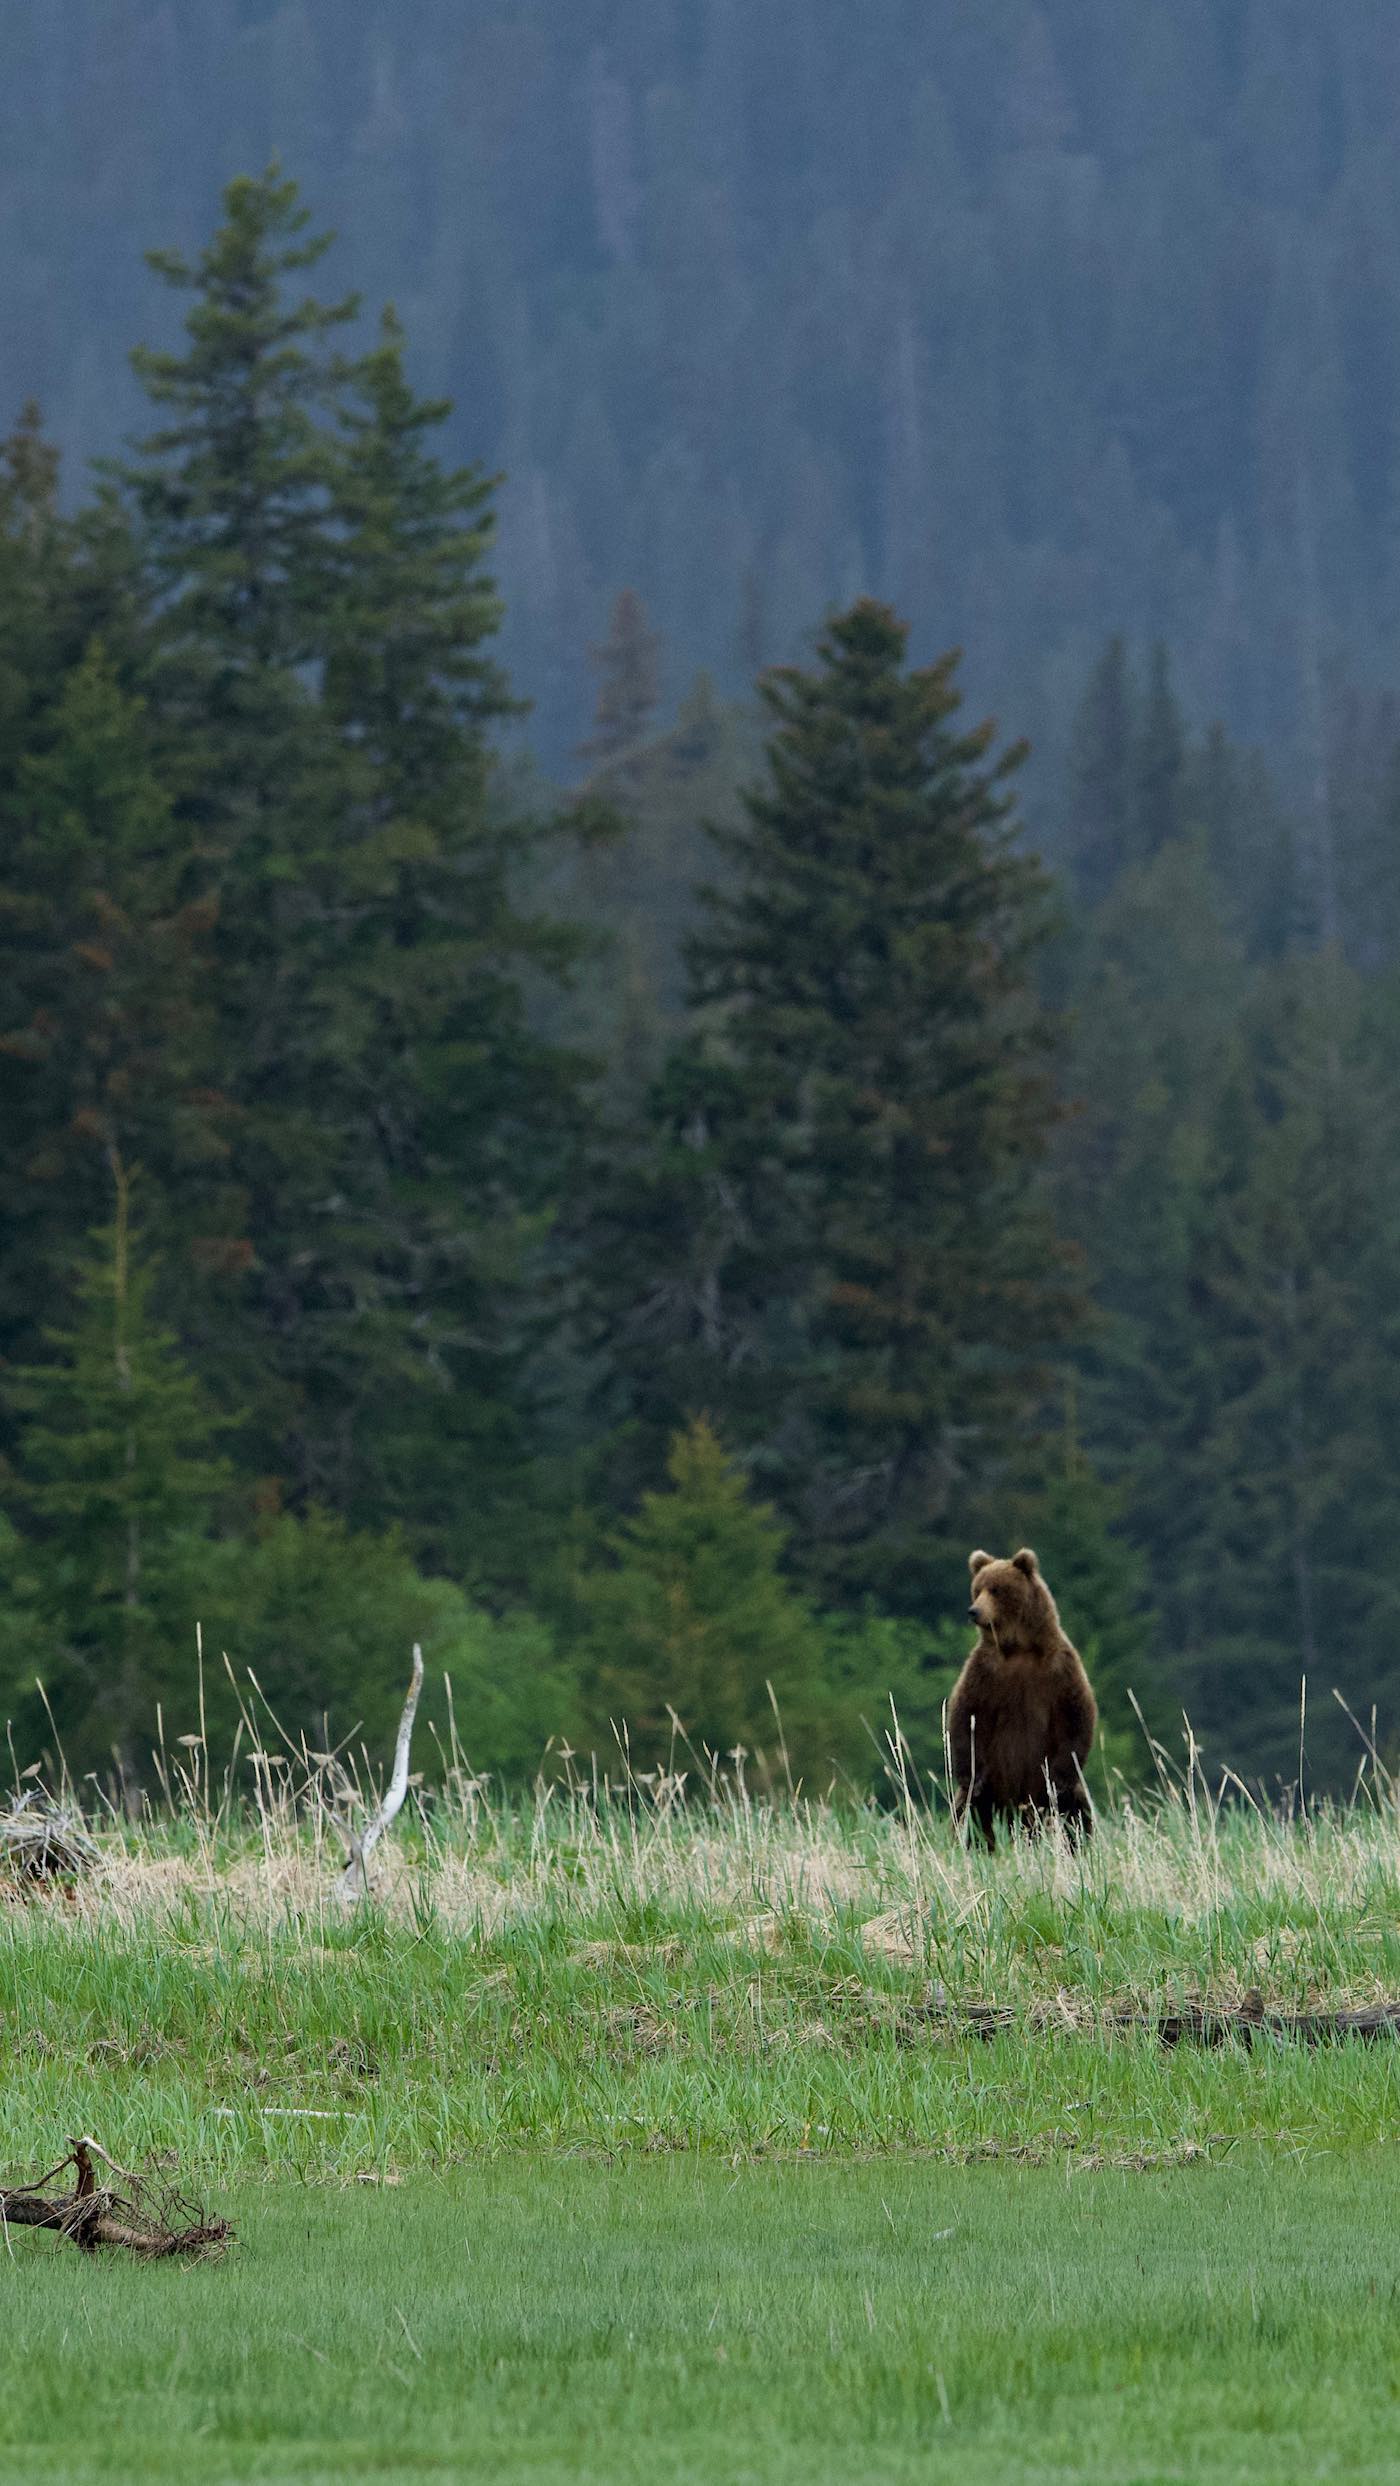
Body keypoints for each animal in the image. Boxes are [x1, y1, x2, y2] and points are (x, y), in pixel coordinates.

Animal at [948, 1548, 1096, 1850]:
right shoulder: (985, 1671)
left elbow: (1076, 1715)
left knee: (1076, 1813)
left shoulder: (1059, 1669)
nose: (974, 1611)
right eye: (977, 1589)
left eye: (996, 1589)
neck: (1019, 1647)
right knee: (968, 1814)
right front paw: (969, 1772)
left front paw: (1058, 1779)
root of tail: (1015, 1810)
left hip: (1044, 1797)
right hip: (992, 1788)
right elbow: (966, 1713)